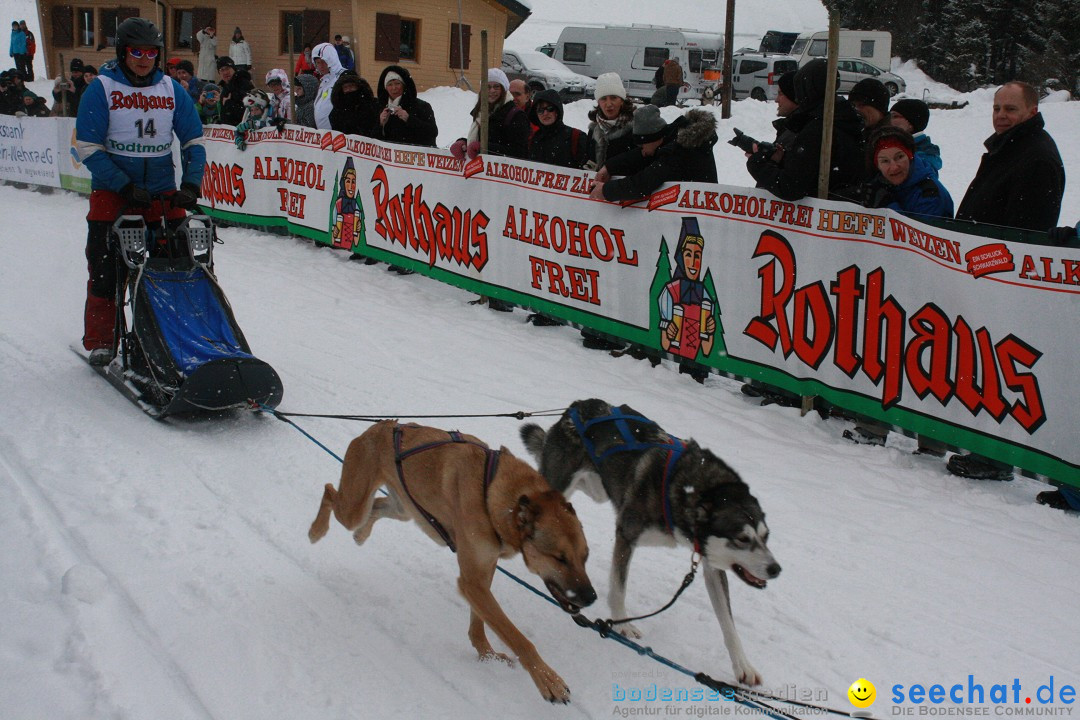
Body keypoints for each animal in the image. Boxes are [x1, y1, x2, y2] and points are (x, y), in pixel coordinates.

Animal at [306, 423, 600, 703]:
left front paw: (487, 654)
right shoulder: (472, 581)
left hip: (403, 509)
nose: (591, 597)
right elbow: (517, 638)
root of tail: (381, 426)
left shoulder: (482, 572)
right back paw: (316, 530)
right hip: (353, 508)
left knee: (376, 504)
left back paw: (362, 533)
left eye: (585, 556)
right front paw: (548, 679)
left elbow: (479, 622)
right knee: (330, 491)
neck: (491, 492)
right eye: (559, 557)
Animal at [520, 399, 781, 686]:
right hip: (561, 485)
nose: (776, 569)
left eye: (766, 536)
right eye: (742, 538)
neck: (690, 490)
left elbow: (729, 625)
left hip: (597, 489)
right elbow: (619, 589)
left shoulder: (711, 564)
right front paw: (622, 624)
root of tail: (576, 407)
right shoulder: (626, 534)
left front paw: (743, 666)